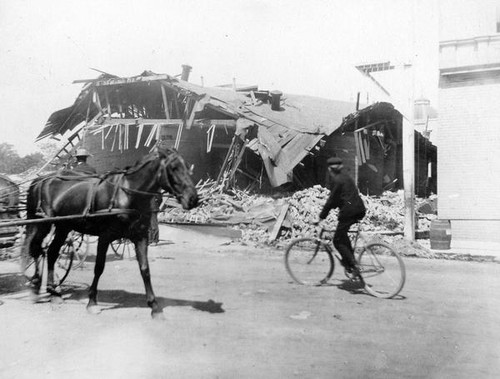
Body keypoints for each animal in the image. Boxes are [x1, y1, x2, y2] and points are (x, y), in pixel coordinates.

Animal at [24, 147, 198, 320]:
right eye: (173, 168)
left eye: (187, 166)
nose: (193, 199)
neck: (127, 194)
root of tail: (40, 180)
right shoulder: (105, 236)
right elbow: (99, 267)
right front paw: (92, 302)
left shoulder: (140, 237)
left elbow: (145, 269)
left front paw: (154, 307)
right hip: (42, 224)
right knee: (36, 249)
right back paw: (37, 286)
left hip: (63, 227)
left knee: (51, 252)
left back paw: (53, 292)